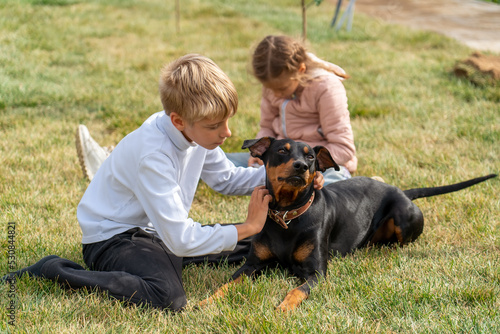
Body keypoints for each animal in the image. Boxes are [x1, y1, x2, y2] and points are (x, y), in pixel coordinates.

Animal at [200, 137, 496, 312]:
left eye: (310, 156)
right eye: (281, 151)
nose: (301, 166)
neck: (288, 215)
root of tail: (403, 192)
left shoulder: (316, 273)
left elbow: (296, 290)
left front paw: (283, 307)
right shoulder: (252, 265)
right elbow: (225, 285)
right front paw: (206, 301)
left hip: (403, 217)